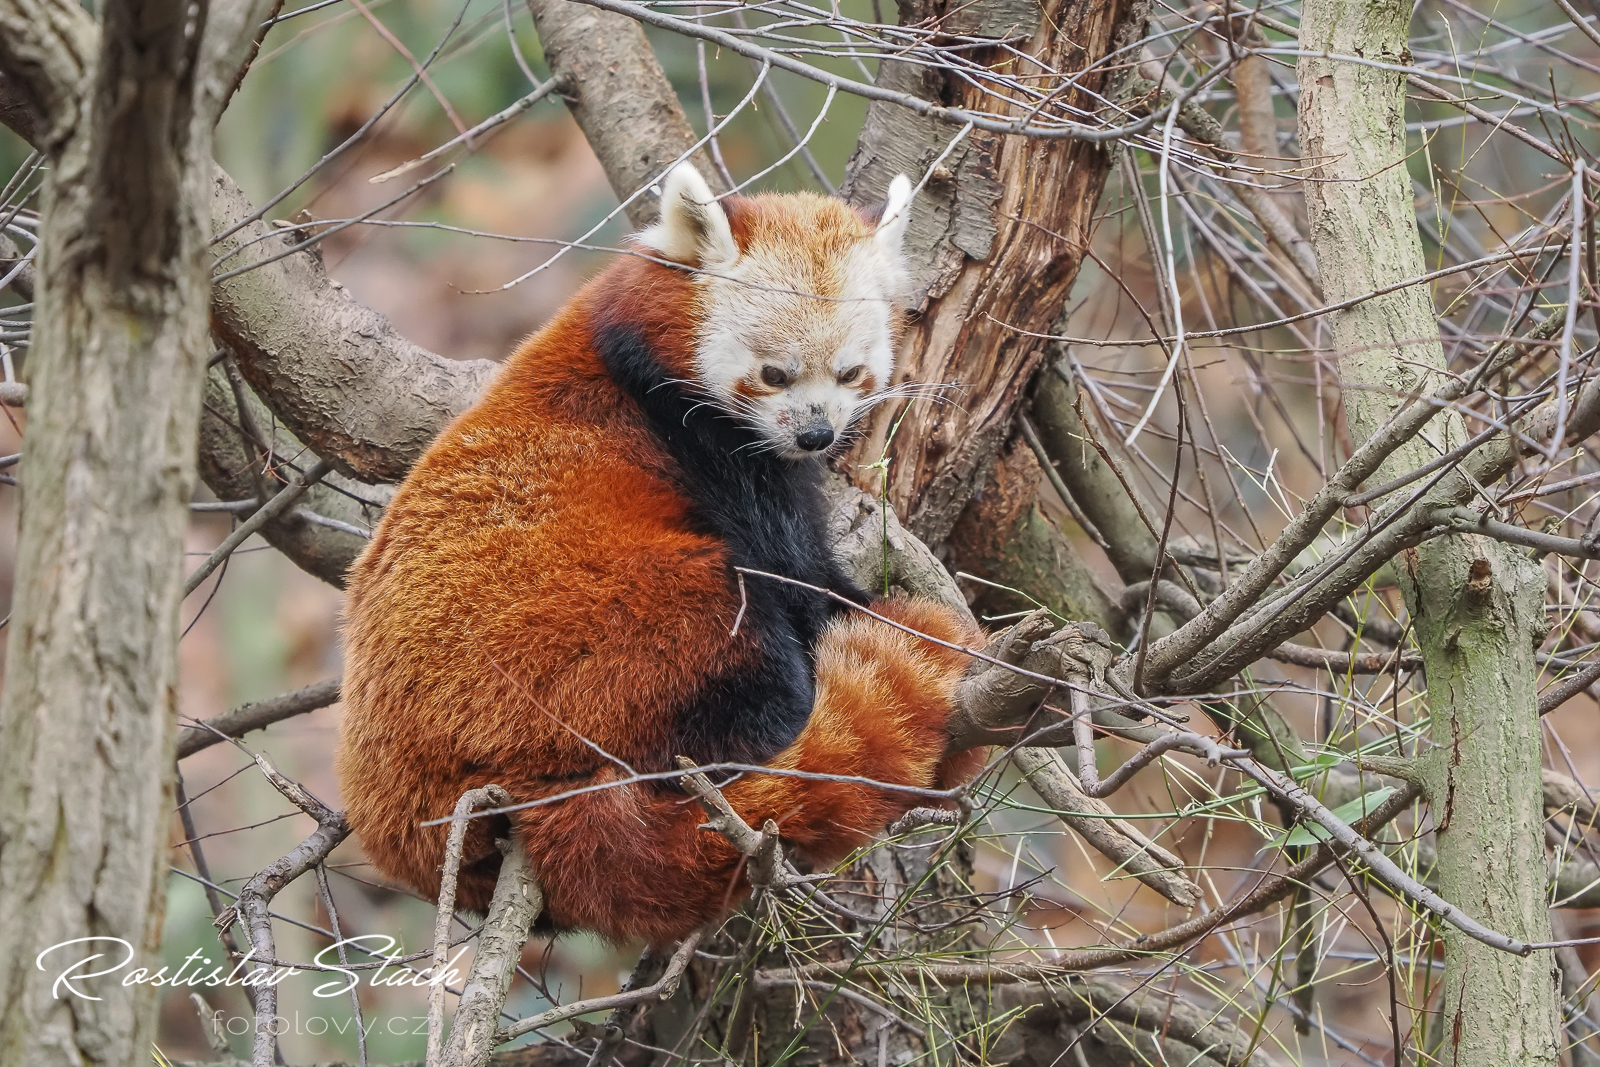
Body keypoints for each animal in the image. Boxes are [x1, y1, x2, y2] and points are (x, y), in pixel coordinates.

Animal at [337, 163, 985, 947]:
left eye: (850, 372)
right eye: (774, 374)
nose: (817, 436)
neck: (638, 345)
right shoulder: (706, 446)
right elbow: (792, 572)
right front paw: (867, 610)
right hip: (595, 636)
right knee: (739, 638)